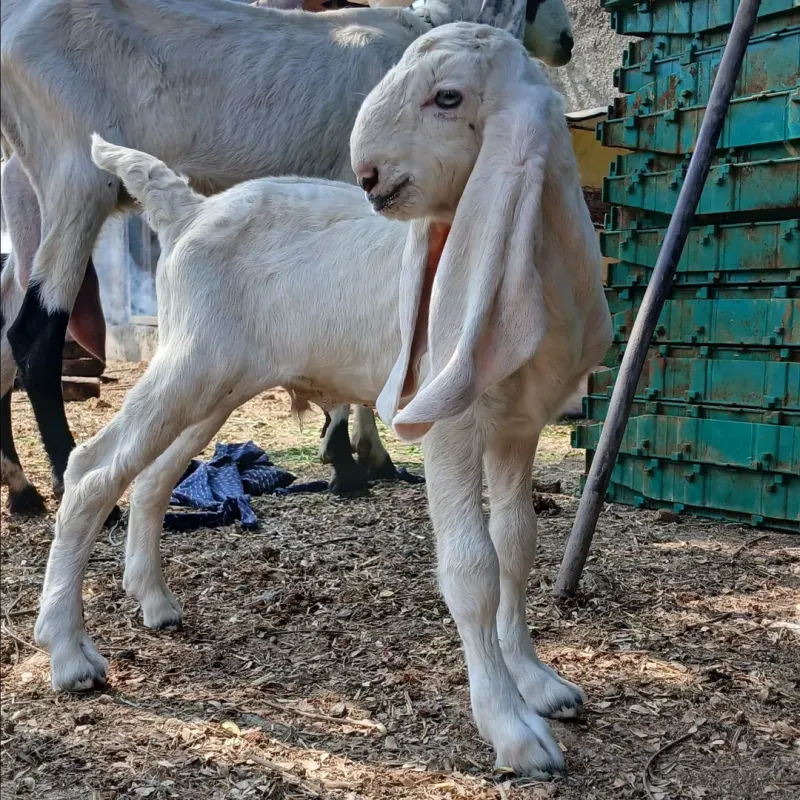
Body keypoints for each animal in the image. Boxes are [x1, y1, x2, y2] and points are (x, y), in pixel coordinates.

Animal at [29, 21, 608, 780]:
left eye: (448, 97)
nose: (369, 179)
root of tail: (189, 211)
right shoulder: (450, 420)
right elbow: (473, 568)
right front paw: (513, 731)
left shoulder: (518, 426)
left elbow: (516, 544)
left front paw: (540, 683)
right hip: (190, 364)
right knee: (95, 469)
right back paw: (69, 655)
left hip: (216, 383)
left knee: (153, 475)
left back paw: (153, 601)